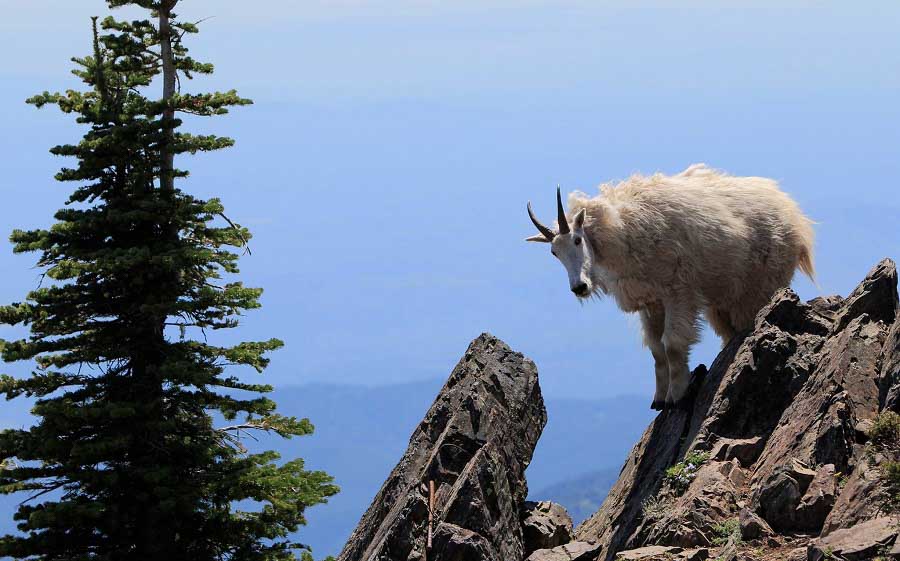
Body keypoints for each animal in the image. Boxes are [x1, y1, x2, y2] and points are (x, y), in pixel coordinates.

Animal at [528, 164, 816, 410]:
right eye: (554, 252)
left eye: (577, 240)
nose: (579, 287)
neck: (621, 230)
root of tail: (795, 216)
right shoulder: (651, 302)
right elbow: (657, 350)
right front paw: (658, 399)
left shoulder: (678, 292)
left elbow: (673, 344)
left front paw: (677, 395)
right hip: (723, 301)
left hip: (760, 286)